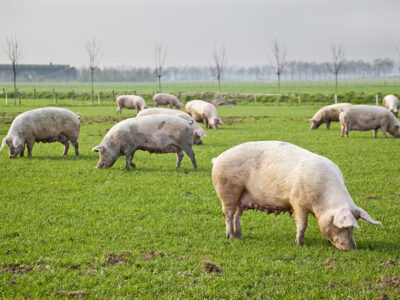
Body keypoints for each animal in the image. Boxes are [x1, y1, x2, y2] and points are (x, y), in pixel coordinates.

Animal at [212, 141, 382, 251]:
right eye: (343, 226)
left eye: (353, 228)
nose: (353, 248)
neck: (321, 201)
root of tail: (217, 158)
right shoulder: (297, 202)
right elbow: (302, 224)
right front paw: (300, 244)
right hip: (227, 190)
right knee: (228, 214)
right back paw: (231, 237)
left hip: (240, 196)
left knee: (237, 215)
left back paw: (240, 235)